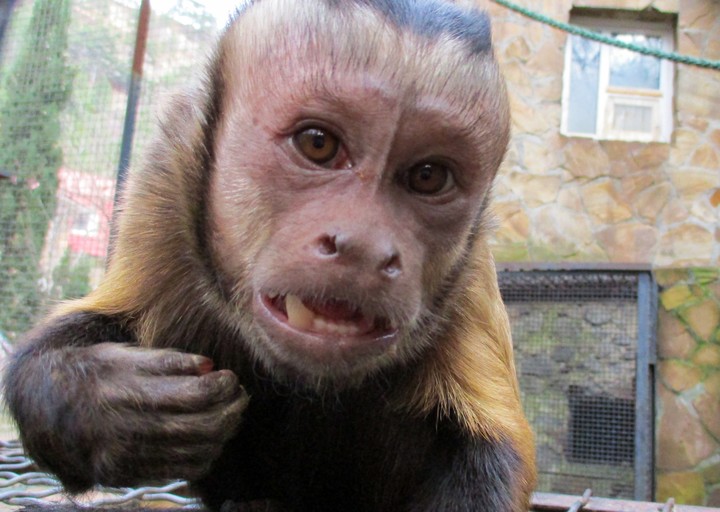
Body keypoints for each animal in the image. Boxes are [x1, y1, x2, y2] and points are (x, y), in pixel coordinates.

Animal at [3, 0, 536, 510]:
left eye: (428, 176)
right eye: (318, 144)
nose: (364, 247)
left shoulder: (469, 268)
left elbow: (491, 449)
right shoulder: (167, 179)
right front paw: (99, 398)